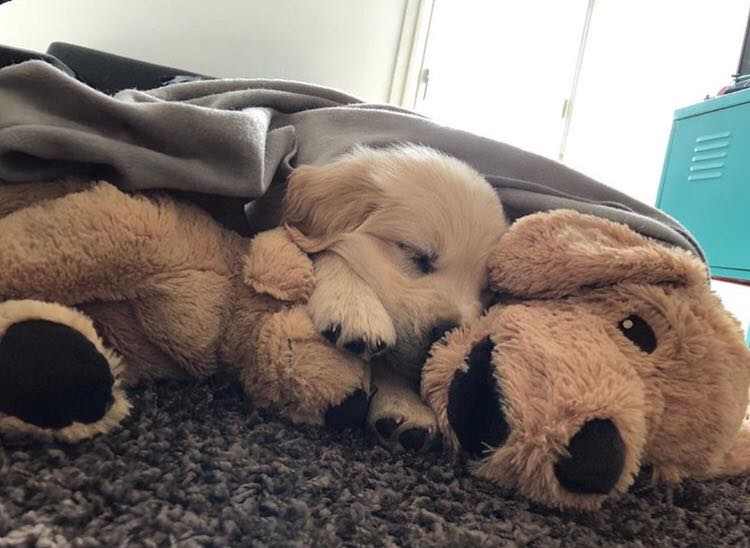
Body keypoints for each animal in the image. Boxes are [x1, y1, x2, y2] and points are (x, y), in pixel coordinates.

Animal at [284, 144, 508, 450]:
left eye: (486, 290)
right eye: (417, 256)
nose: (446, 333)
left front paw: (402, 404)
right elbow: (328, 251)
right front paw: (354, 305)